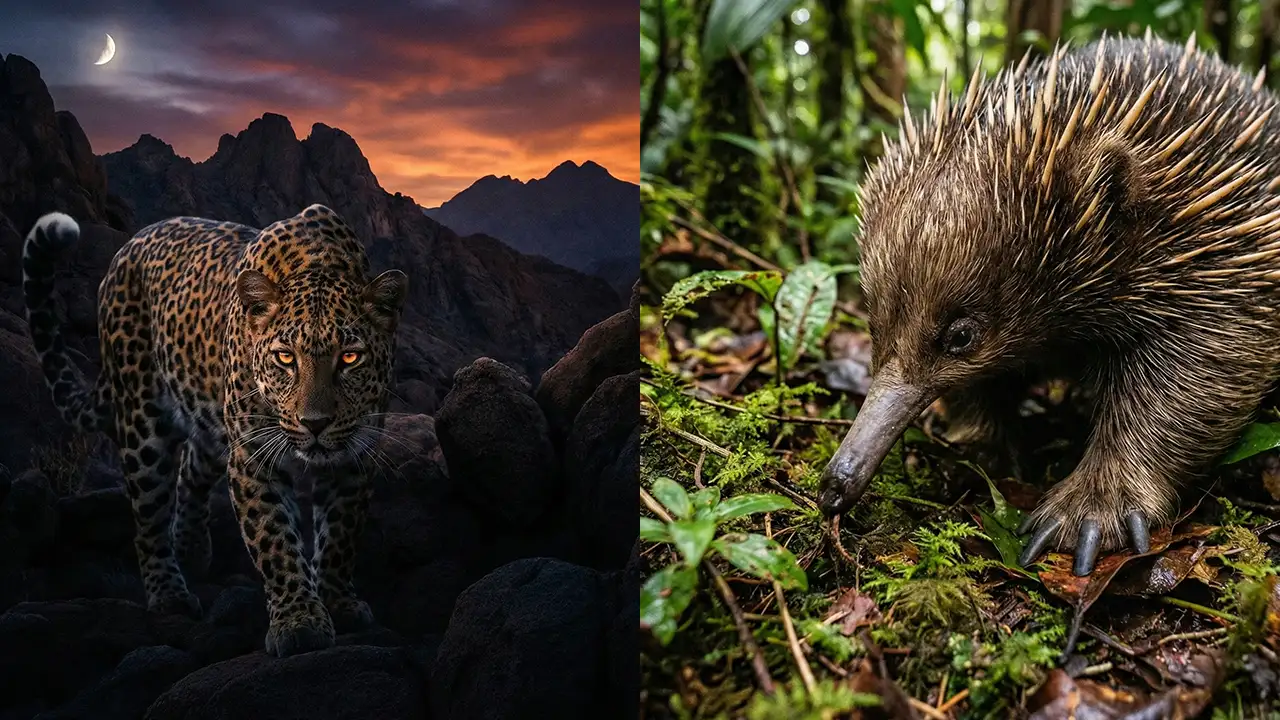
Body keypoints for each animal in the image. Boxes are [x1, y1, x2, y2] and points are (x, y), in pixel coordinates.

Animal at [22, 204, 409, 658]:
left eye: (350, 357)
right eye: (285, 357)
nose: (314, 424)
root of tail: (126, 249)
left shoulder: (355, 457)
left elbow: (340, 537)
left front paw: (337, 602)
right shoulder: (253, 457)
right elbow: (275, 540)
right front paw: (299, 622)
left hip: (206, 418)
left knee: (191, 468)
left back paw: (190, 548)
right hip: (142, 421)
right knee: (148, 517)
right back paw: (169, 594)